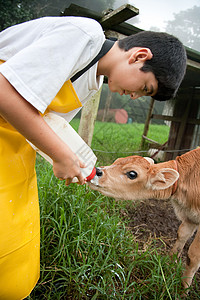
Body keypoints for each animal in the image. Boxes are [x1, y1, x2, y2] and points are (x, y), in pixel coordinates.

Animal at [88, 148, 200, 292]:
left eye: (132, 173)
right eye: (116, 161)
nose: (97, 171)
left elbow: (193, 255)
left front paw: (183, 289)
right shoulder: (189, 217)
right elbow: (181, 236)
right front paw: (169, 264)